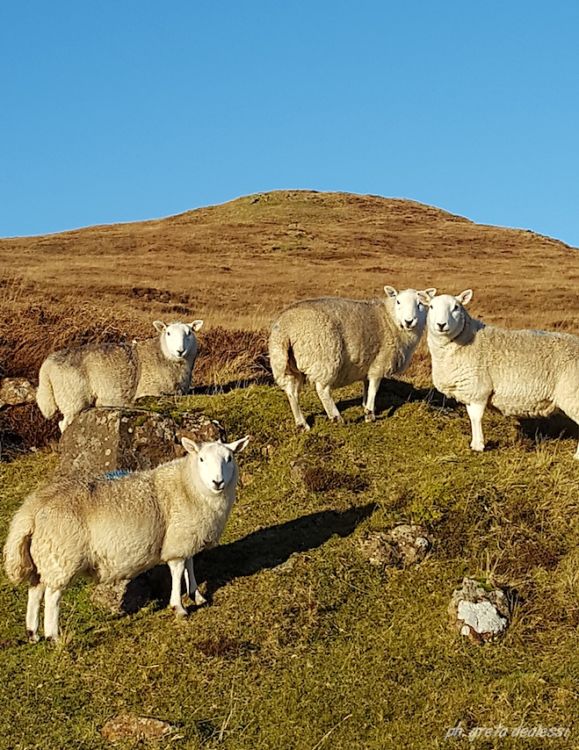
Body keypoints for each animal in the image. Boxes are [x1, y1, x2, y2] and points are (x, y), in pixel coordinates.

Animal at [2, 434, 251, 648]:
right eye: (201, 459)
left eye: (229, 458)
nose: (217, 482)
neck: (188, 485)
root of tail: (32, 508)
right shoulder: (178, 541)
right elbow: (178, 570)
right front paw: (179, 607)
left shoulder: (186, 537)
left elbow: (190, 565)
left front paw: (196, 595)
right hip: (62, 555)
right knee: (52, 596)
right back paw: (53, 635)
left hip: (44, 555)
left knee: (35, 590)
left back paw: (33, 633)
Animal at [35, 320, 204, 432]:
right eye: (168, 333)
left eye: (189, 333)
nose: (180, 350)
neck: (161, 354)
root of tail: (47, 365)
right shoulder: (151, 391)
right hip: (72, 398)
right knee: (64, 424)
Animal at [270, 286, 438, 432]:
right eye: (398, 302)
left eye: (420, 304)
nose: (409, 321)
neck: (390, 319)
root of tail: (285, 329)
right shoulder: (380, 363)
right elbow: (374, 388)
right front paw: (370, 415)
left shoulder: (368, 363)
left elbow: (366, 386)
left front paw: (366, 406)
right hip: (325, 356)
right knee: (322, 389)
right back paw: (336, 417)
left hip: (283, 362)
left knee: (291, 392)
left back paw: (302, 424)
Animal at [426, 292, 579, 458]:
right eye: (431, 306)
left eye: (456, 307)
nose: (441, 325)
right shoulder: (470, 390)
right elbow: (471, 417)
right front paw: (474, 444)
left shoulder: (480, 390)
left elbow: (476, 417)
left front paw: (479, 446)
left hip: (573, 393)